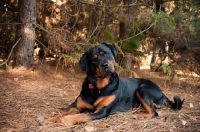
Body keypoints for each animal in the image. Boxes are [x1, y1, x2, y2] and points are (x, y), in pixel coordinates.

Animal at [41, 42, 184, 126]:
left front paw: (66, 120)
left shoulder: (102, 111)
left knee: (154, 113)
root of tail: (162, 93)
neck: (98, 87)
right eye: (94, 58)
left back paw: (138, 115)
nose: (105, 65)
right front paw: (48, 119)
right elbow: (64, 112)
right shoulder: (76, 105)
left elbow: (82, 115)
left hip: (143, 89)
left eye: (107, 54)